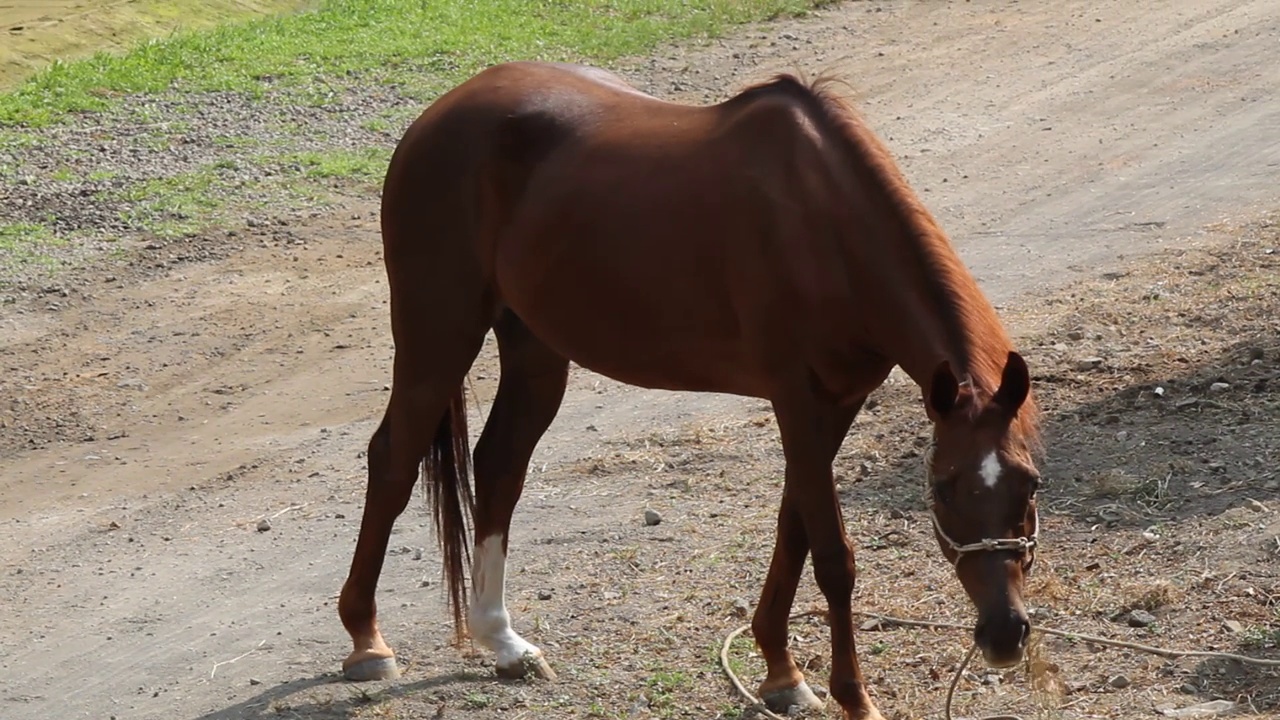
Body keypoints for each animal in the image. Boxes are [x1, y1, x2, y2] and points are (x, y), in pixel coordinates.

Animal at [335, 61, 1044, 717]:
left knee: (499, 464)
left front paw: (781, 671)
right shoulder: (796, 399)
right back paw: (367, 640)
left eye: (1030, 485)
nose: (1005, 635)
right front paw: (854, 697)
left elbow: (793, 526)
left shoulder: (836, 402)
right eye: (943, 488)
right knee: (393, 460)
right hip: (438, 336)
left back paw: (503, 642)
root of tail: (441, 113)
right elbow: (832, 555)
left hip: (534, 347)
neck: (823, 225)